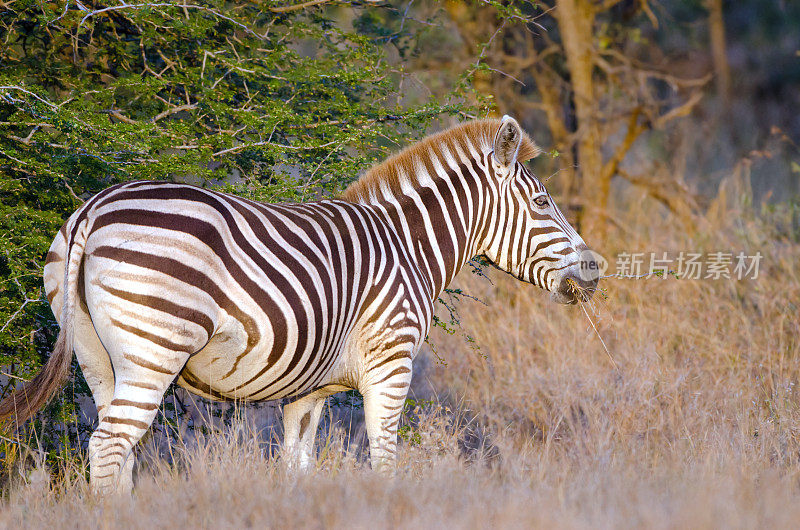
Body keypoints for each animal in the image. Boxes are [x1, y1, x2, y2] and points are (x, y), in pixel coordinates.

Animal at [0, 114, 592, 490]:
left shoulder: (310, 391)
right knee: (108, 447)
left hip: (95, 353)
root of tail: (92, 209)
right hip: (154, 347)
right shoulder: (391, 364)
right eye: (543, 202)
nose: (595, 269)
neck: (407, 246)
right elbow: (385, 459)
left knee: (115, 448)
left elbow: (298, 466)